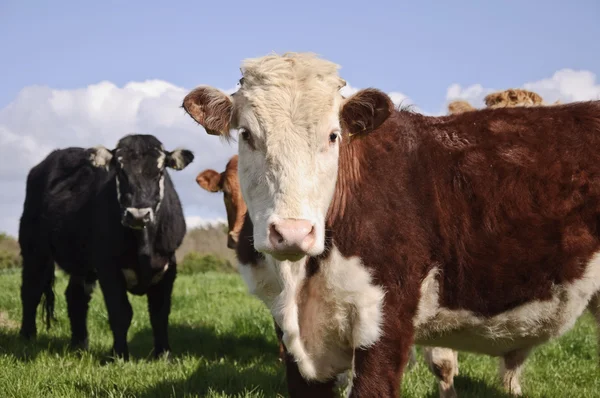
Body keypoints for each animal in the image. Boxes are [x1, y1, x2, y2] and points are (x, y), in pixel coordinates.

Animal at [18, 134, 193, 360]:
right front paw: (119, 355)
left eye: (160, 171)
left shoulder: (167, 265)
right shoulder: (108, 267)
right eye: (119, 171)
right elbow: (121, 312)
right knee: (31, 290)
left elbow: (160, 313)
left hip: (81, 262)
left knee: (75, 296)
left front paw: (164, 355)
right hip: (34, 248)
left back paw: (79, 344)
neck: (143, 246)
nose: (137, 215)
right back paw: (27, 337)